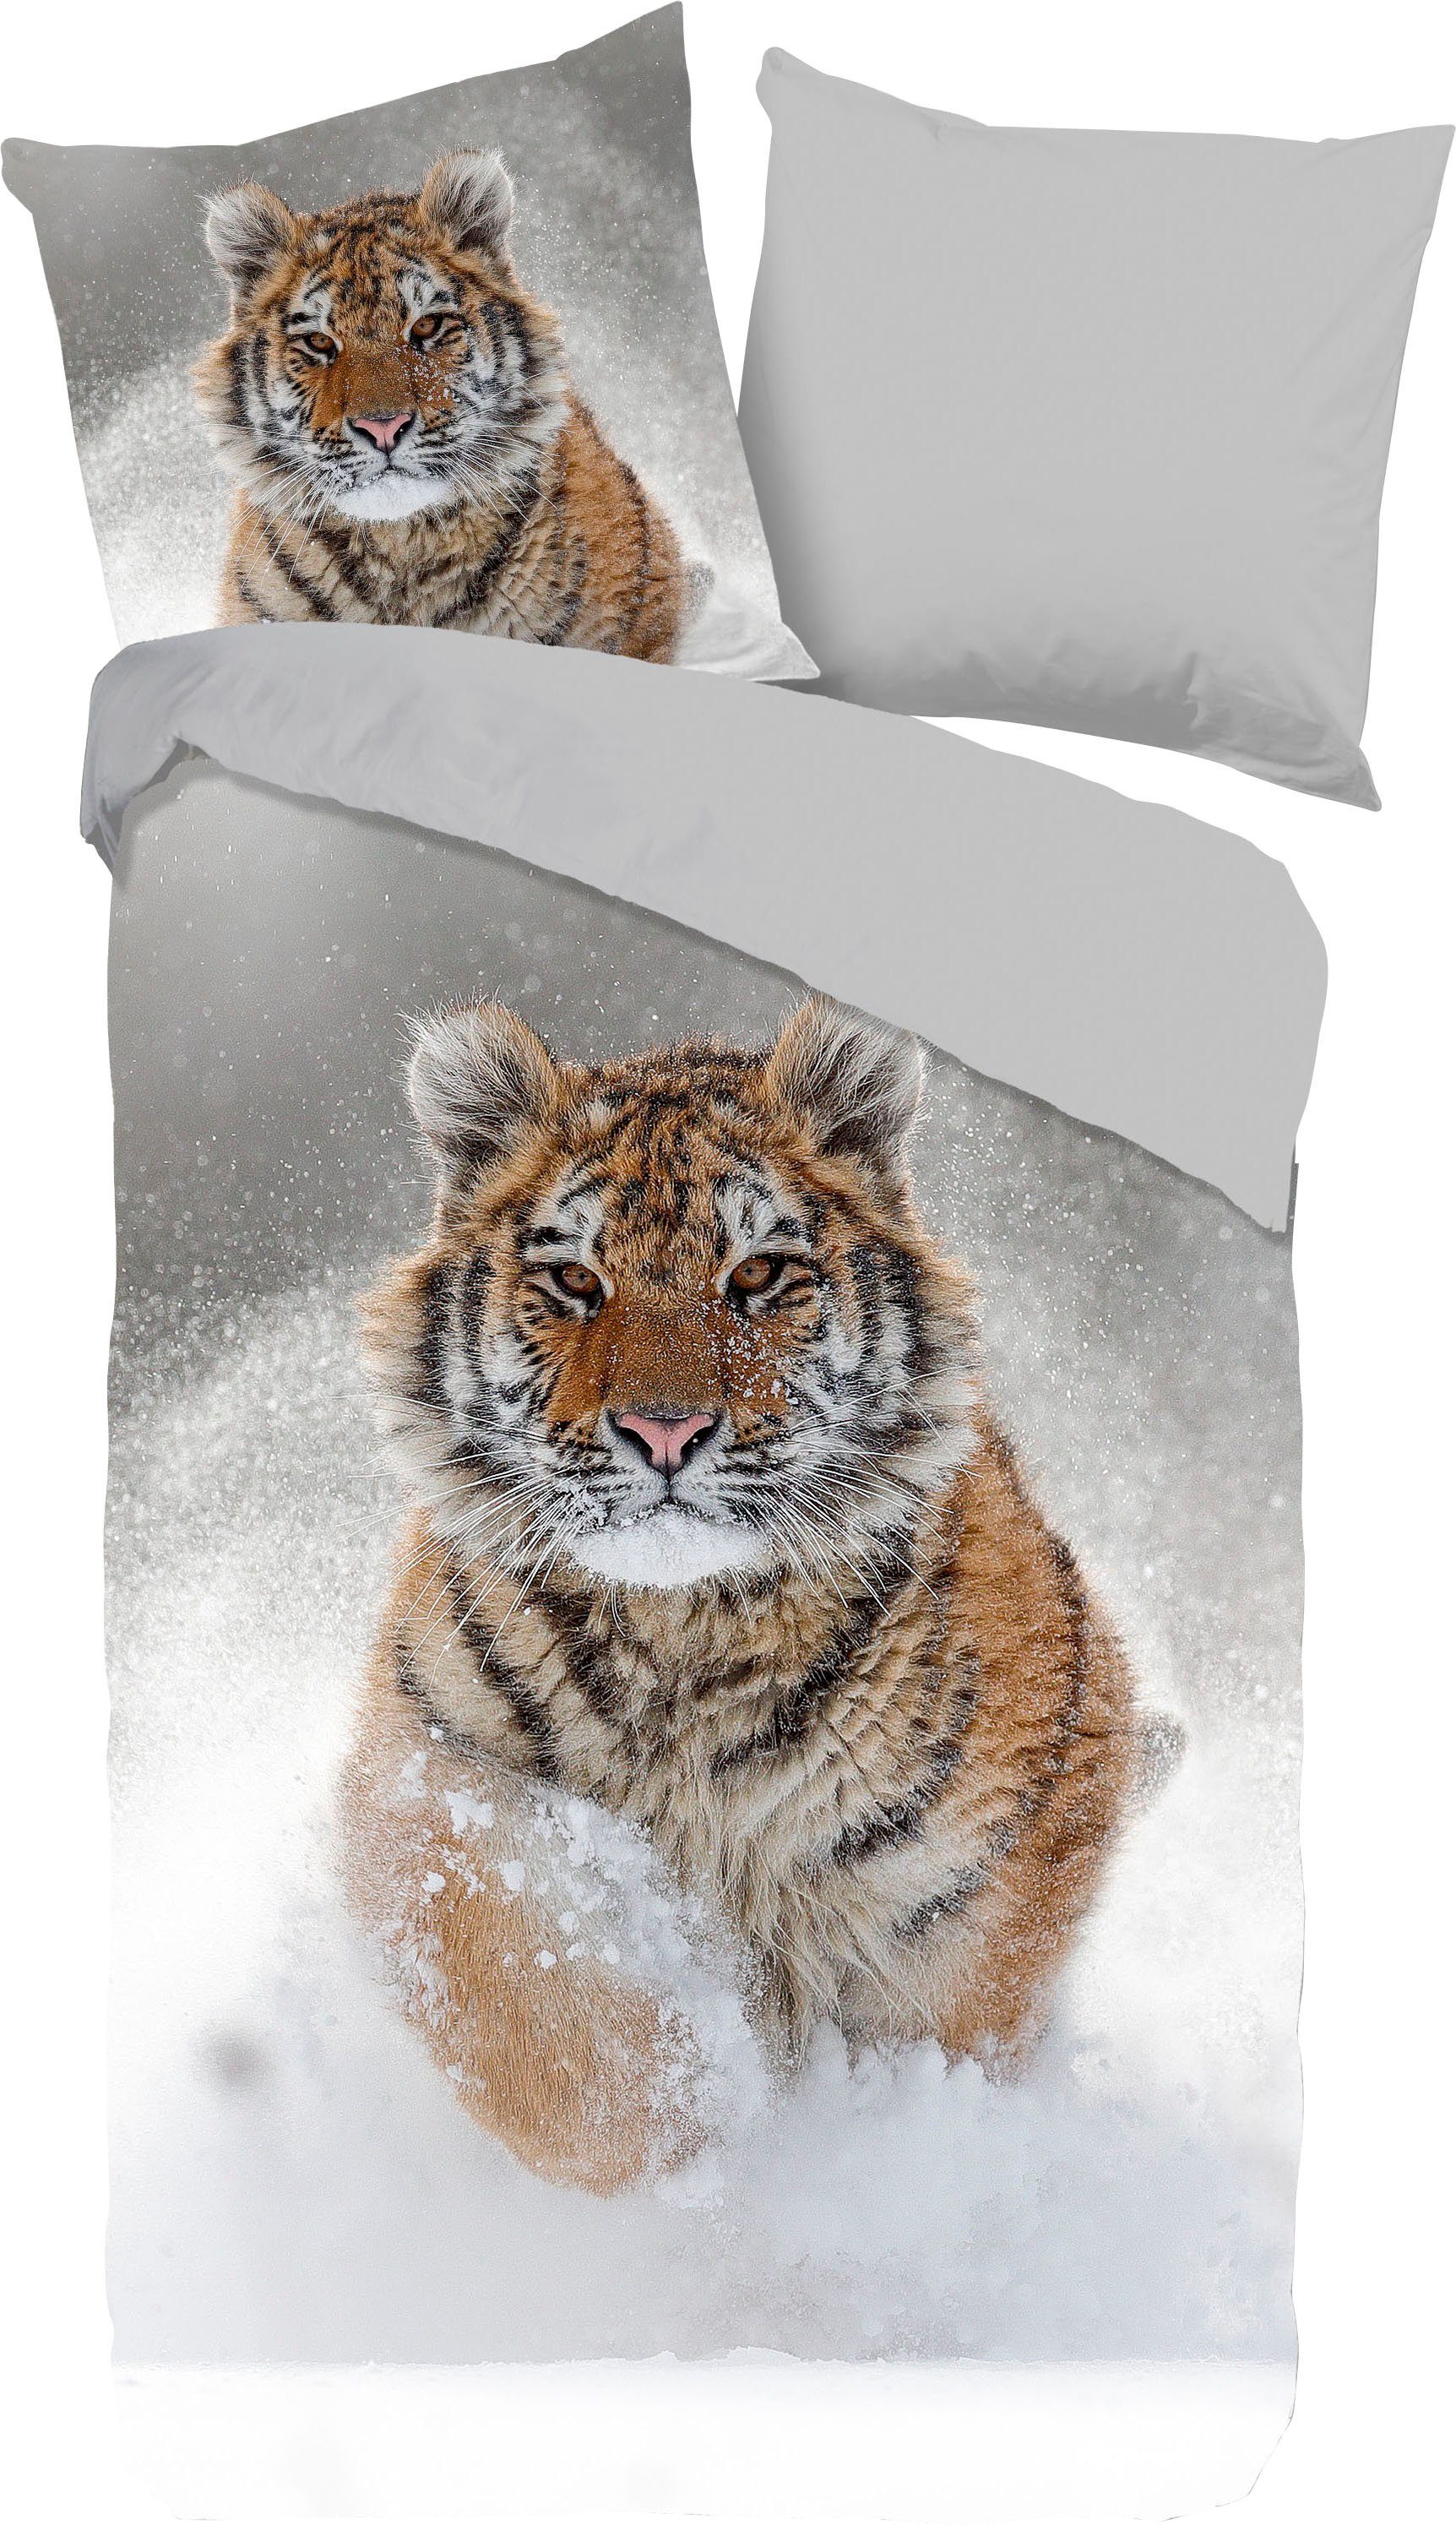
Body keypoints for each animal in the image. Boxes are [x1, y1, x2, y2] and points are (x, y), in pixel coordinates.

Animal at [343, 997, 1150, 2194]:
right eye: (576, 1282)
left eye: (758, 1275)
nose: (664, 1429)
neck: (683, 1636)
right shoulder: (425, 1773)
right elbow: (541, 2023)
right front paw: (697, 2136)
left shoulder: (978, 1885)